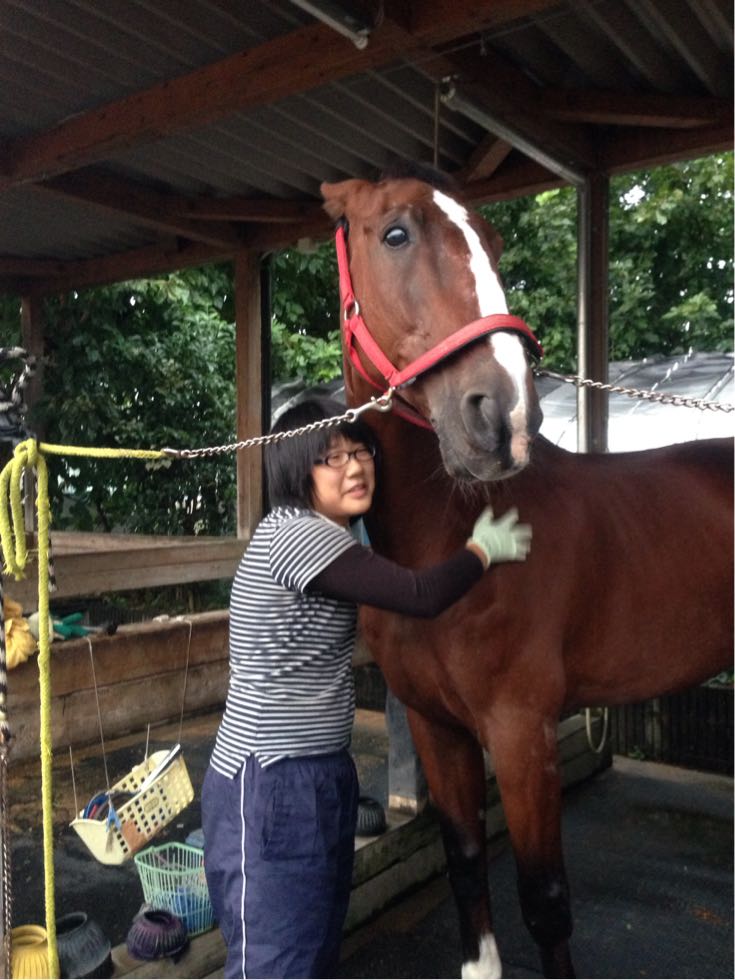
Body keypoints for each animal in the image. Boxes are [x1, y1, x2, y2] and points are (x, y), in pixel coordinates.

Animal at [320, 170, 733, 979]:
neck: (447, 544)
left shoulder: (520, 733)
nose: (503, 417)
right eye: (395, 234)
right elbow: (464, 863)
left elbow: (543, 900)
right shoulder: (438, 727)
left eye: (495, 242)